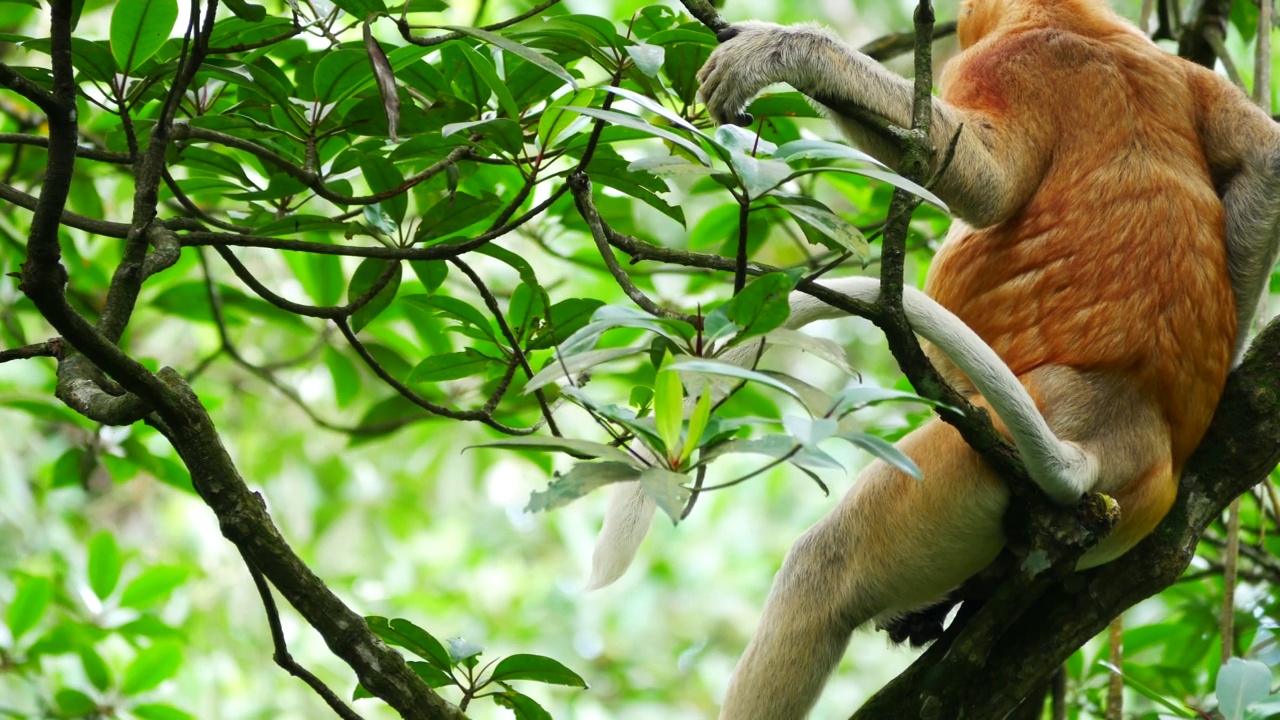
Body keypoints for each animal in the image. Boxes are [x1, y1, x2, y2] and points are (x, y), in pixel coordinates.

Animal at [591, 2, 1280, 712]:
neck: (1082, 24)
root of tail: (1115, 433)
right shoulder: (1188, 76)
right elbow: (1267, 155)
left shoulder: (1007, 64)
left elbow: (982, 179)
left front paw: (784, 53)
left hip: (962, 466)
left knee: (823, 573)